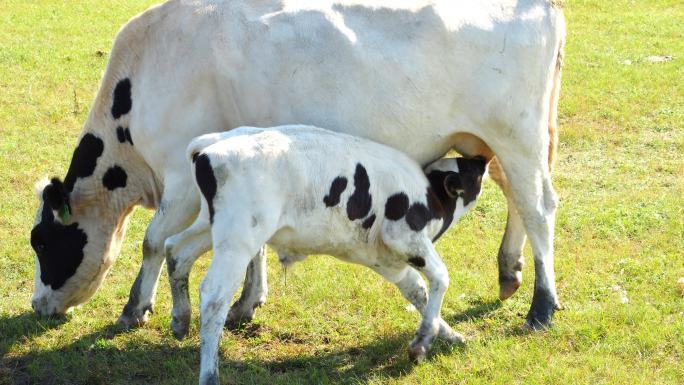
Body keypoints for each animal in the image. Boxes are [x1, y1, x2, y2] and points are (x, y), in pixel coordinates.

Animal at [30, 0, 568, 330]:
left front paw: (134, 309)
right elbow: (252, 247)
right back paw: (509, 271)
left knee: (539, 205)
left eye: (41, 241)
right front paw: (248, 301)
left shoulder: (180, 176)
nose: (37, 305)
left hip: (515, 134)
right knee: (518, 197)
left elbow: (152, 241)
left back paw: (542, 305)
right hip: (496, 142)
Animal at [165, 124, 486, 382]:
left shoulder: (388, 261)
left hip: (211, 226)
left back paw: (180, 320)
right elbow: (441, 277)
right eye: (469, 170)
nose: (482, 158)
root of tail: (211, 145)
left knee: (175, 249)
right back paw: (209, 374)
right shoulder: (406, 238)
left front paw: (448, 334)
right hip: (237, 240)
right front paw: (421, 343)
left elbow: (418, 291)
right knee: (214, 297)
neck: (430, 197)